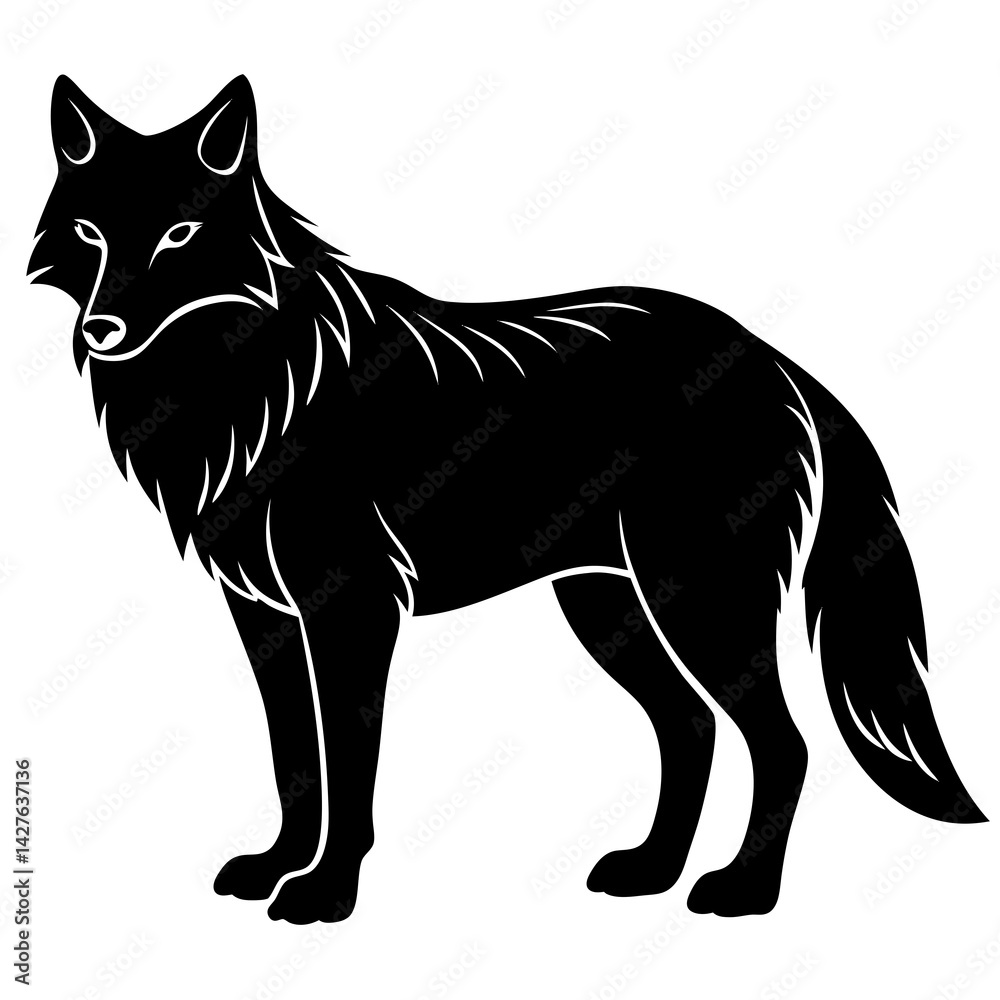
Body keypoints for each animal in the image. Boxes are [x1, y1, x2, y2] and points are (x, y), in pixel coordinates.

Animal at [29, 75, 985, 924]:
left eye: (180, 234)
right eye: (89, 232)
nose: (101, 330)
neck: (253, 382)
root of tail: (772, 356)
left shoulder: (352, 609)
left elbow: (349, 762)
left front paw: (325, 893)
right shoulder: (261, 612)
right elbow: (293, 759)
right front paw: (276, 866)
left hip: (701, 605)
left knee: (781, 745)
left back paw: (742, 893)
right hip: (609, 608)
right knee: (691, 729)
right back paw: (650, 872)